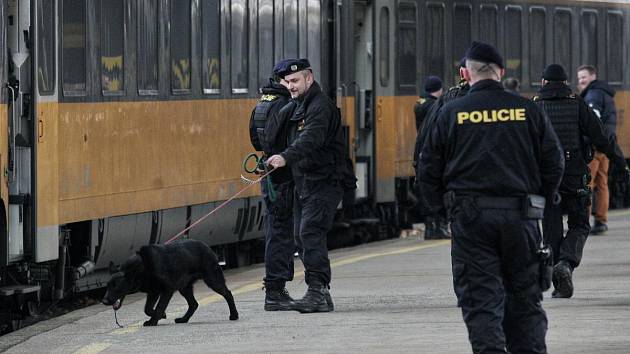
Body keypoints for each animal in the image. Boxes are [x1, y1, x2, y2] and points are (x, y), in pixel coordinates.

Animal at [101, 238, 239, 326]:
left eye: (116, 286)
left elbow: (159, 307)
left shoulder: (167, 290)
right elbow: (147, 309)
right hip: (184, 287)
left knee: (228, 293)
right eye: (107, 287)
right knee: (194, 304)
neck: (143, 266)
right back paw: (183, 319)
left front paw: (153, 321)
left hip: (212, 280)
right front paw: (161, 315)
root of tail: (207, 247)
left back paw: (234, 315)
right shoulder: (153, 292)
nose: (104, 301)